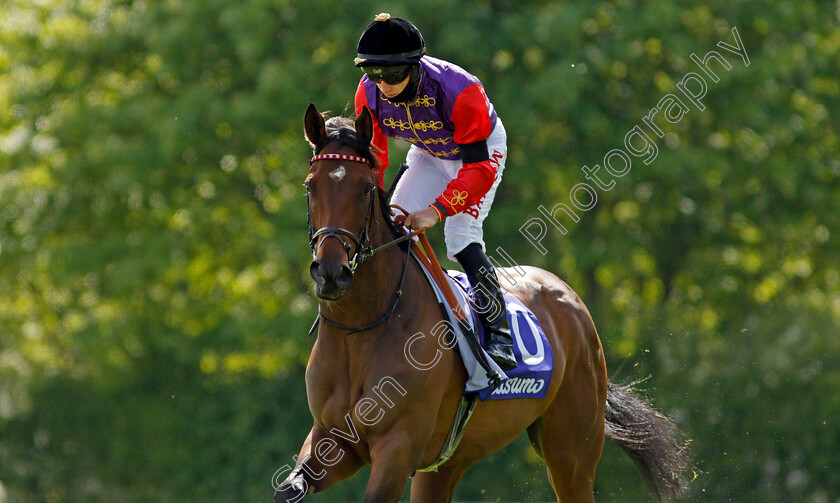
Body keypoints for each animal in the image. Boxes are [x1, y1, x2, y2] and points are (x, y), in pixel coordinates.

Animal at [276, 104, 688, 502]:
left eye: (364, 188)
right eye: (310, 186)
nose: (331, 272)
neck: (362, 327)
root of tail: (569, 297)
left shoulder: (398, 447)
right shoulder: (333, 440)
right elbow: (288, 489)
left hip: (572, 452)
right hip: (446, 464)